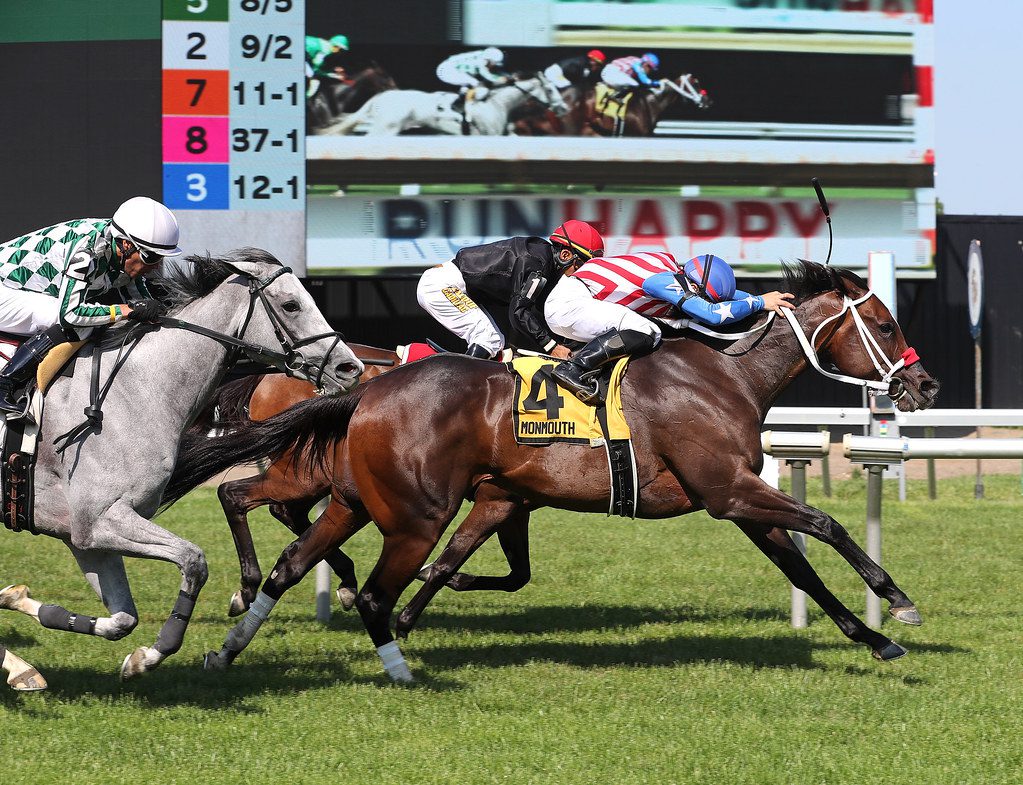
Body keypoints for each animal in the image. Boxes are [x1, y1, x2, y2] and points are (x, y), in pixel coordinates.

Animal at [0, 248, 364, 679]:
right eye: (291, 304)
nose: (350, 368)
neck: (137, 391)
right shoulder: (102, 520)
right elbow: (194, 561)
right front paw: (157, 651)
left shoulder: (82, 534)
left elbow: (122, 621)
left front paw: (16, 600)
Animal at [165, 262, 937, 679]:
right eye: (885, 324)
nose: (922, 386)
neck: (725, 376)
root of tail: (363, 387)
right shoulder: (726, 492)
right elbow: (826, 524)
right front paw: (897, 598)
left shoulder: (734, 499)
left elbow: (801, 567)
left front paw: (874, 637)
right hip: (396, 504)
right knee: (274, 517)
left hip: (353, 497)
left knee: (290, 555)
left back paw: (231, 646)